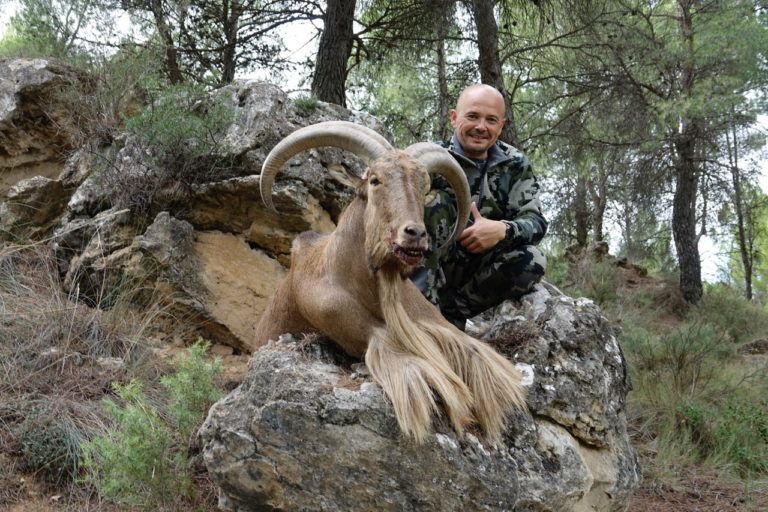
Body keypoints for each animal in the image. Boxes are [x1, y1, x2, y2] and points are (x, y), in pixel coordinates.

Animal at [254, 121, 526, 443]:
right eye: (375, 180)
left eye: (424, 187)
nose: (415, 234)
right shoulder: (359, 330)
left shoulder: (436, 323)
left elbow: (475, 354)